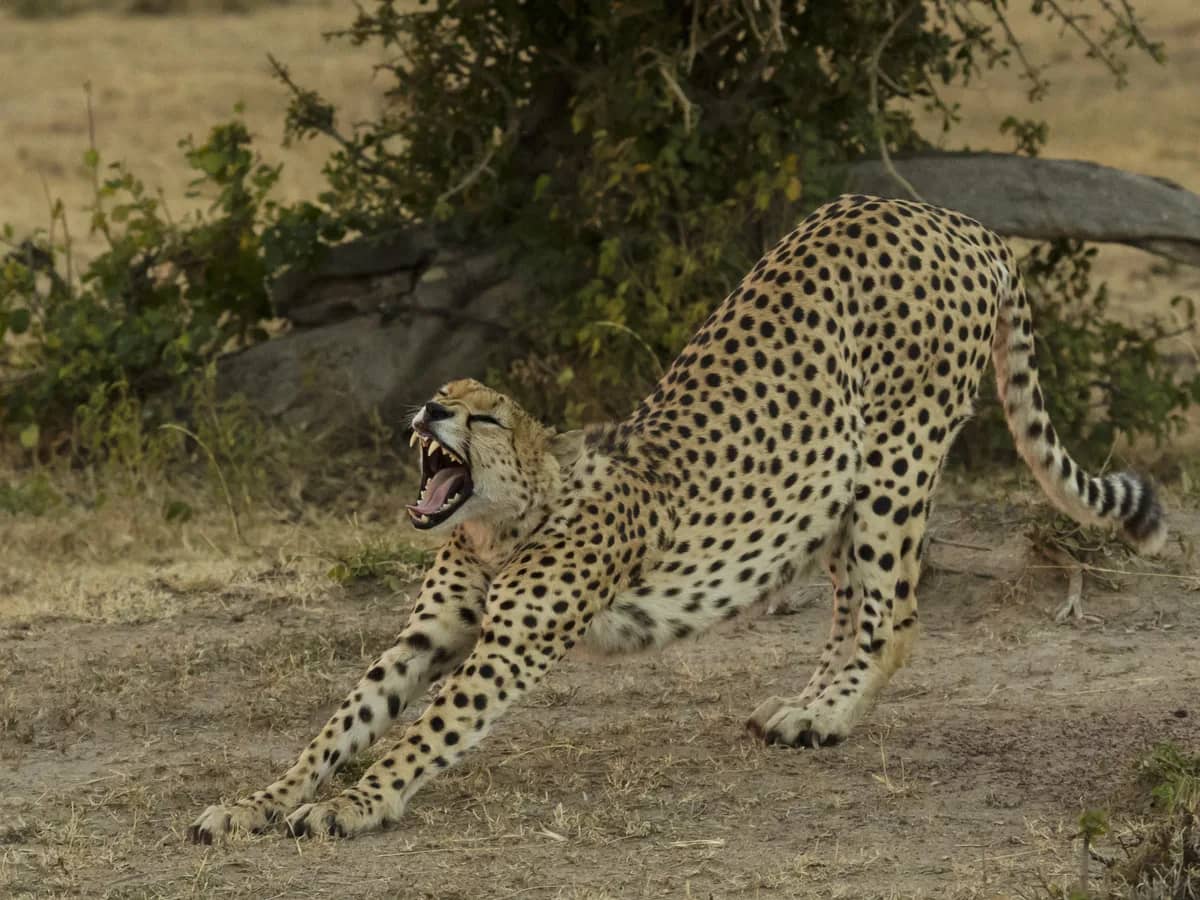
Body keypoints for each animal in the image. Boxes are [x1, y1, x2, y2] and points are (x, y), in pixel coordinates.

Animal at [189, 194, 1166, 843]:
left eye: (485, 415)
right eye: (443, 393)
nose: (429, 411)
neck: (505, 520)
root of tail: (950, 217)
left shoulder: (510, 645)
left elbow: (423, 731)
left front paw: (352, 804)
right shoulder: (427, 633)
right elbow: (343, 721)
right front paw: (254, 802)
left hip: (898, 457)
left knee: (895, 616)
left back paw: (830, 715)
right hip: (835, 487)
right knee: (852, 607)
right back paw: (806, 711)